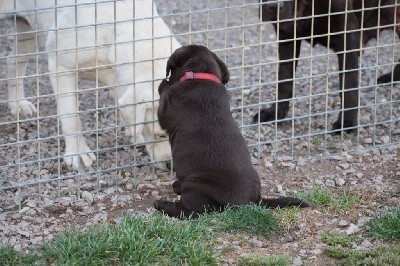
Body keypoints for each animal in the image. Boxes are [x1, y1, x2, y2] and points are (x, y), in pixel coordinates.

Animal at [1, 0, 180, 169]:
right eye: (160, 135)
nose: (172, 167)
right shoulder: (62, 68)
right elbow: (71, 117)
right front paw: (78, 153)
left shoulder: (116, 79)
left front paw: (134, 134)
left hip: (28, 33)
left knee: (12, 61)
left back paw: (18, 104)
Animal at [154, 44, 310, 218]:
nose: (168, 78)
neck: (201, 76)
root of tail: (254, 199)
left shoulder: (167, 107)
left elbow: (164, 98)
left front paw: (164, 83)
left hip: (195, 186)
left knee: (190, 211)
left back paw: (162, 204)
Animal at [256, 0, 400, 133]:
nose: (273, 6)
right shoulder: (287, 34)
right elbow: (284, 80)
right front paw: (275, 113)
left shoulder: (347, 35)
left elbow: (348, 86)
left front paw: (346, 123)